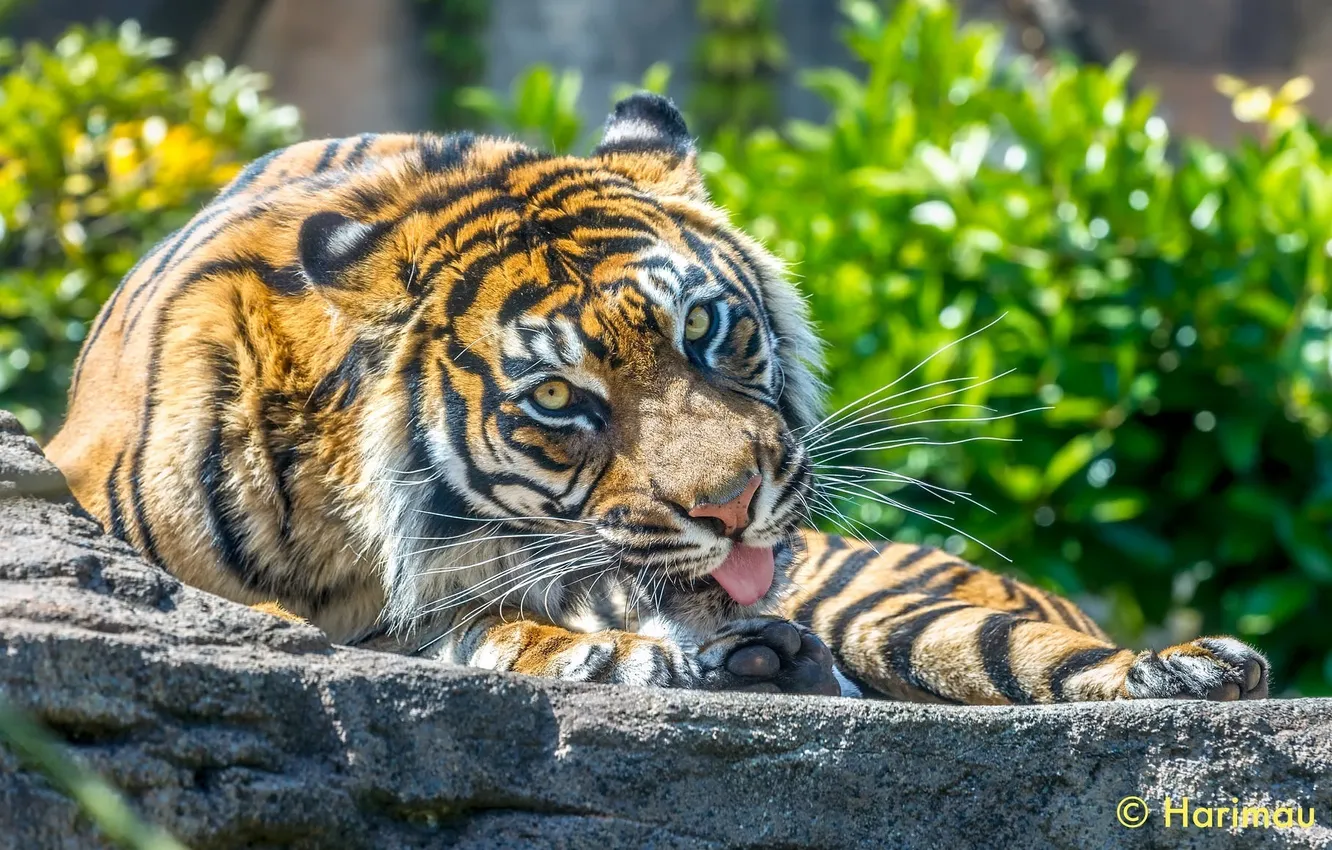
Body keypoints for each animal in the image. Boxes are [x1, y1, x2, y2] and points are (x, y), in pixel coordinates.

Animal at [44, 93, 1269, 704]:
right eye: (558, 397)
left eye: (707, 330)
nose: (732, 507)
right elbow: (500, 636)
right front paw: (646, 655)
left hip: (899, 605)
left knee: (1009, 646)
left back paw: (1189, 668)